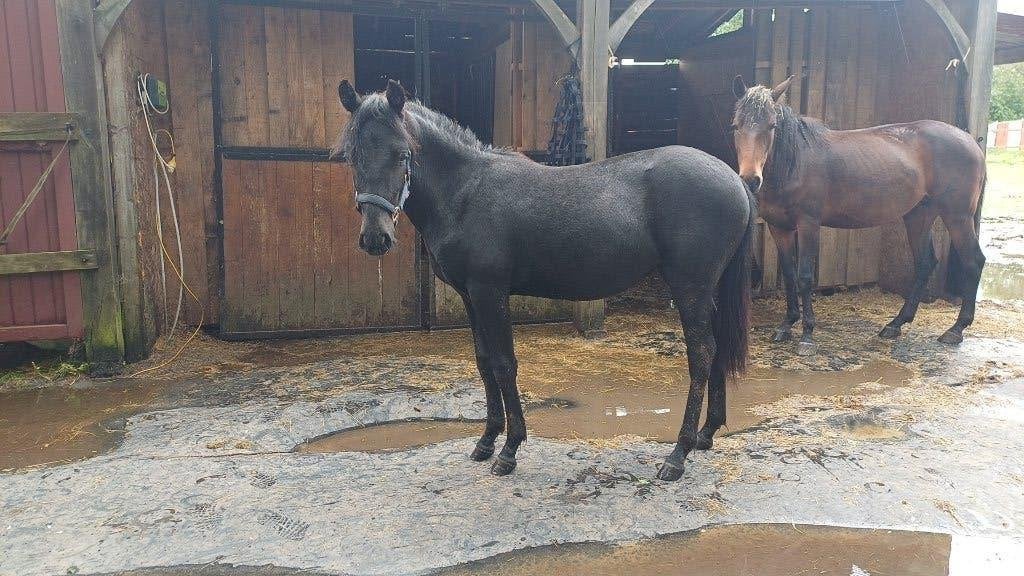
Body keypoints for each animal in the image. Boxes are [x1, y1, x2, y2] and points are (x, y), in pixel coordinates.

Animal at [334, 79, 755, 481]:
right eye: (352, 156)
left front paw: (509, 450)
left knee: (701, 353)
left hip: (690, 286)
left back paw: (678, 455)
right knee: (716, 347)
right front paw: (486, 441)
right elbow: (484, 362)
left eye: (402, 154)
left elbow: (504, 364)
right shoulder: (470, 296)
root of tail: (733, 178)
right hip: (709, 289)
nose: (375, 238)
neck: (465, 192)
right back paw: (706, 434)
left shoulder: (490, 291)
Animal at [731, 75, 987, 356]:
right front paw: (786, 325)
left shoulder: (808, 224)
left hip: (958, 216)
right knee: (924, 263)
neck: (794, 163)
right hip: (918, 215)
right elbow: (788, 274)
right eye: (735, 126)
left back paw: (956, 329)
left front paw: (807, 335)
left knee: (973, 261)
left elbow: (805, 276)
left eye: (772, 125)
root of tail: (970, 141)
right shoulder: (779, 227)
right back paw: (895, 325)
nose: (750, 179)